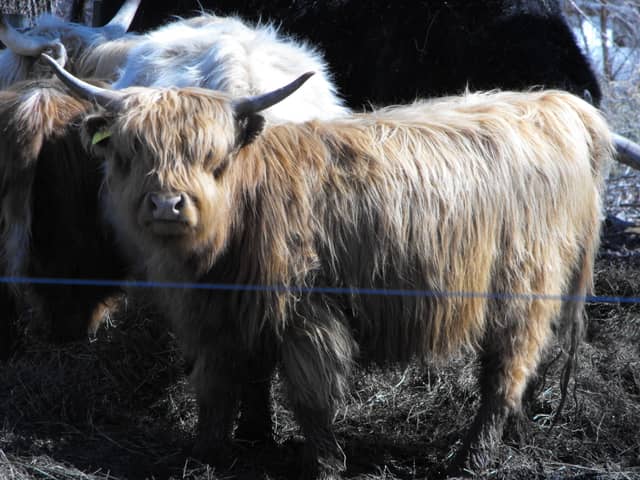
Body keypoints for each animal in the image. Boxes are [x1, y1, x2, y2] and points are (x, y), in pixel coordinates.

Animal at [45, 55, 613, 477]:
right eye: (131, 151)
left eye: (213, 157)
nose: (167, 204)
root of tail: (550, 103)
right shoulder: (222, 314)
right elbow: (231, 380)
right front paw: (228, 446)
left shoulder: (307, 312)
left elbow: (307, 394)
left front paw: (321, 463)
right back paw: (516, 433)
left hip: (522, 288)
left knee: (505, 371)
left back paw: (472, 459)